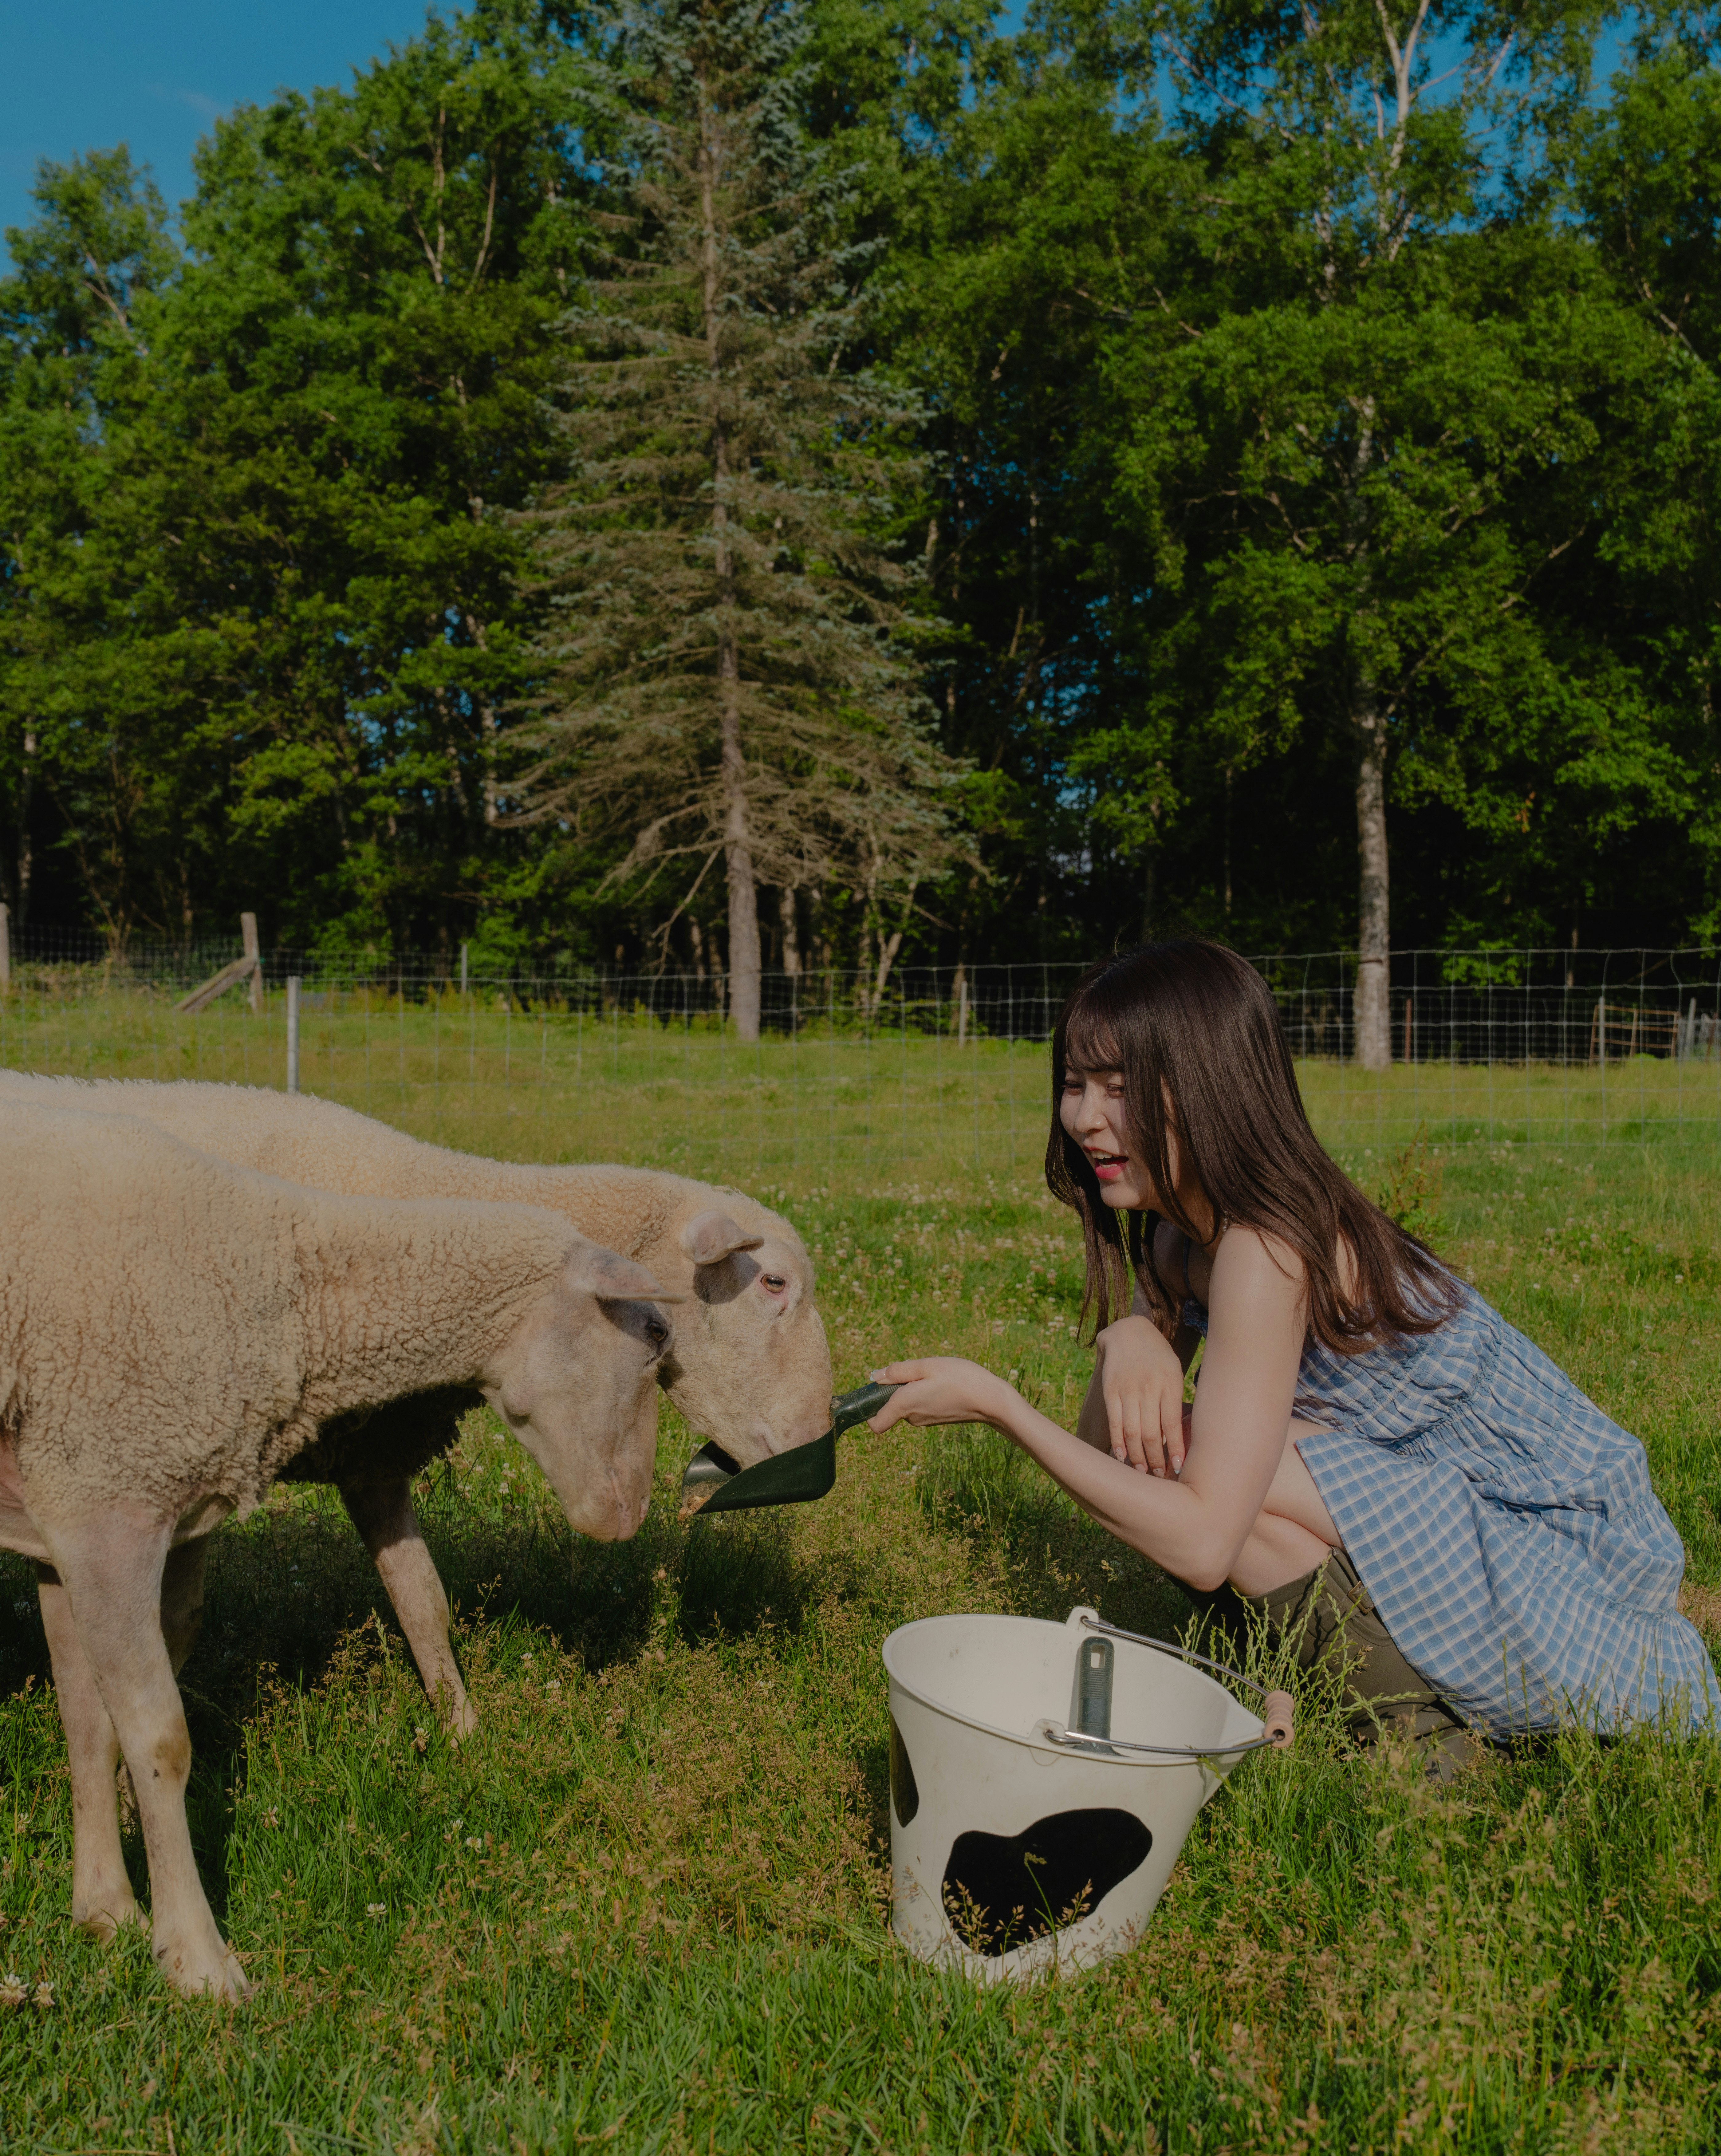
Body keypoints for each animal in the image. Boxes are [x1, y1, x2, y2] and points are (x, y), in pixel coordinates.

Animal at [0, 1072, 833, 1737]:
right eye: (773, 1283)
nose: (819, 1441)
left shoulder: (373, 1455)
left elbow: (424, 1601)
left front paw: (462, 1733)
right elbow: (174, 1634)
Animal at [0, 1100, 678, 1998]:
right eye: (653, 1336)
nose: (630, 1513)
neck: (276, 1282)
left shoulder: (72, 1511)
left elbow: (87, 1720)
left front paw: (106, 1909)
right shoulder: (106, 1502)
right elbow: (158, 1737)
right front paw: (197, 1960)